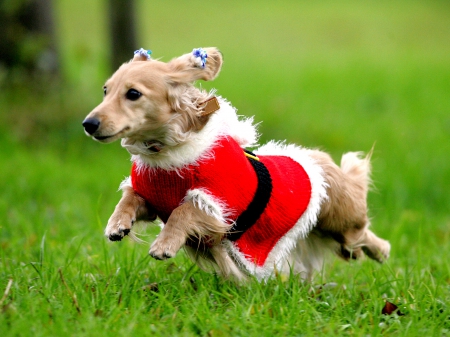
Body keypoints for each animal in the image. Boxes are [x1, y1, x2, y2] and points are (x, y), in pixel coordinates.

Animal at [81, 46, 390, 280]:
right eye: (106, 90)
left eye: (133, 93)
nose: (88, 124)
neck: (165, 153)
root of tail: (322, 160)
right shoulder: (153, 198)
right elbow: (130, 198)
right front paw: (117, 225)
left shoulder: (218, 207)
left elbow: (183, 211)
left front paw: (164, 244)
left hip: (340, 220)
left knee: (362, 234)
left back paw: (382, 251)